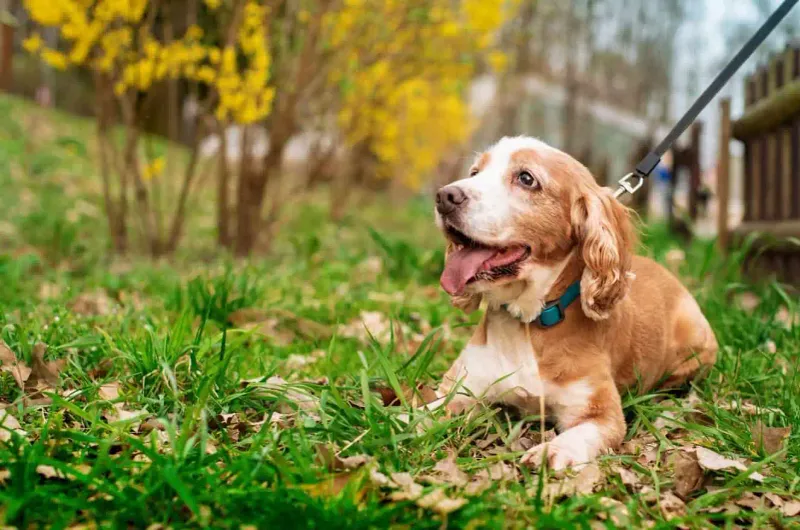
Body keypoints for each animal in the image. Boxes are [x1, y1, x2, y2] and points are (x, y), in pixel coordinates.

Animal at [432, 135, 720, 466]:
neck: (528, 322)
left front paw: (551, 452)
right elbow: (421, 414)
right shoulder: (460, 388)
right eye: (475, 172)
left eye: (526, 178)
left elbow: (580, 435)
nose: (444, 196)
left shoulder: (600, 413)